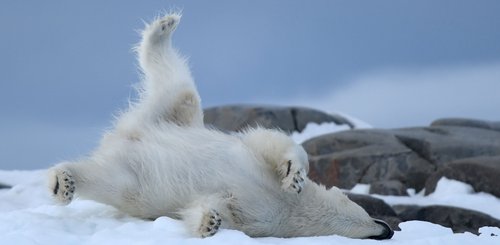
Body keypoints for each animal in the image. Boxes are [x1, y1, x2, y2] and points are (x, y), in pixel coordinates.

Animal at [47, 12, 392, 239]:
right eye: (366, 211)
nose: (387, 230)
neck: (293, 208)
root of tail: (123, 136)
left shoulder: (259, 218)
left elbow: (215, 208)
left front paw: (209, 223)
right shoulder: (253, 159)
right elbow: (269, 141)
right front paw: (294, 176)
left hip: (134, 178)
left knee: (109, 179)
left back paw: (63, 182)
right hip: (175, 117)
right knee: (180, 88)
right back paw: (164, 28)